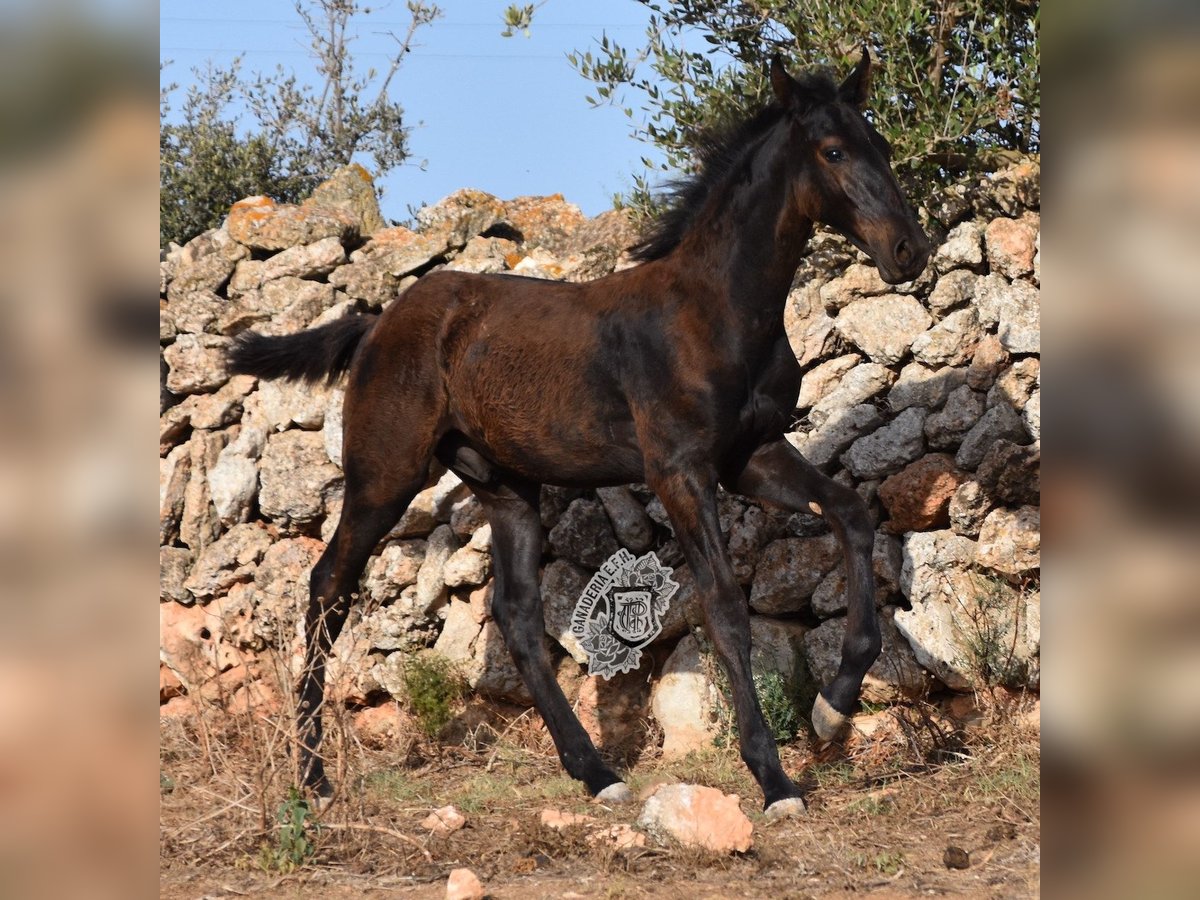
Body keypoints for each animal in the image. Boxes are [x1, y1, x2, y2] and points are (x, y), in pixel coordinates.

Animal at [229, 52, 931, 820]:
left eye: (881, 144)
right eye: (832, 152)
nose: (909, 250)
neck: (713, 311)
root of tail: (377, 322)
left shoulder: (750, 454)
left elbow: (852, 513)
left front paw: (832, 712)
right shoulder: (678, 469)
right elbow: (723, 606)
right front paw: (774, 780)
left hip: (506, 488)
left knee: (517, 618)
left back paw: (596, 772)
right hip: (383, 476)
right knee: (327, 588)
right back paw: (312, 776)